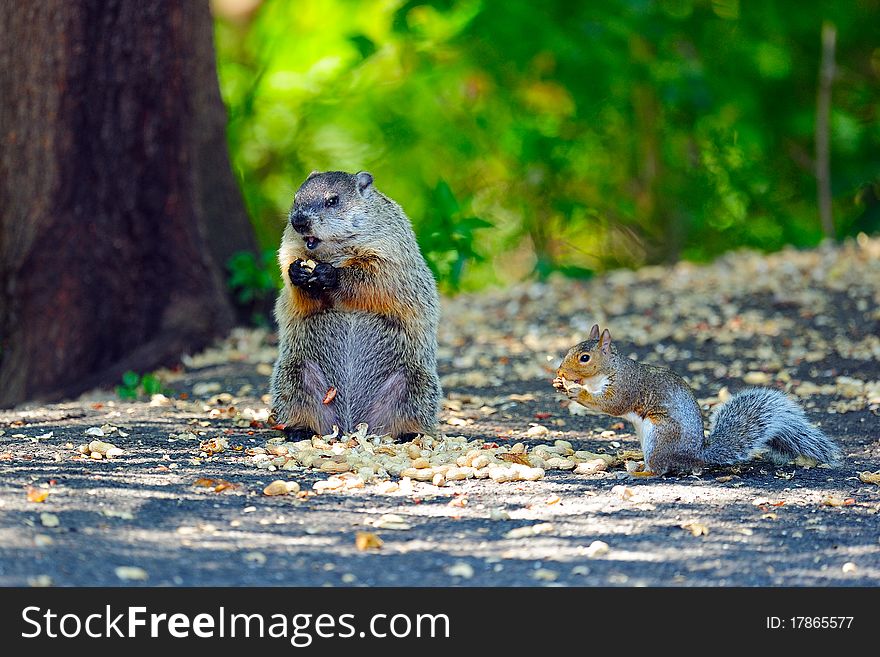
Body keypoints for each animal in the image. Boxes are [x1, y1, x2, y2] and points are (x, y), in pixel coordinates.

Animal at [270, 170, 440, 440]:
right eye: (296, 198)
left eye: (333, 200)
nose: (298, 221)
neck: (332, 252)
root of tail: (351, 427)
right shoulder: (290, 247)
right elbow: (291, 272)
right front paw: (297, 272)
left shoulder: (388, 245)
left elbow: (376, 275)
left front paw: (331, 275)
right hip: (293, 373)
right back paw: (299, 429)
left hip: (416, 382)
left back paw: (410, 433)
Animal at [552, 322, 844, 472]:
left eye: (584, 357)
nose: (561, 371)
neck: (609, 370)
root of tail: (695, 456)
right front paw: (561, 384)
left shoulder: (627, 387)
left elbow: (610, 404)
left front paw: (576, 391)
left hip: (660, 435)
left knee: (661, 469)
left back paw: (641, 473)